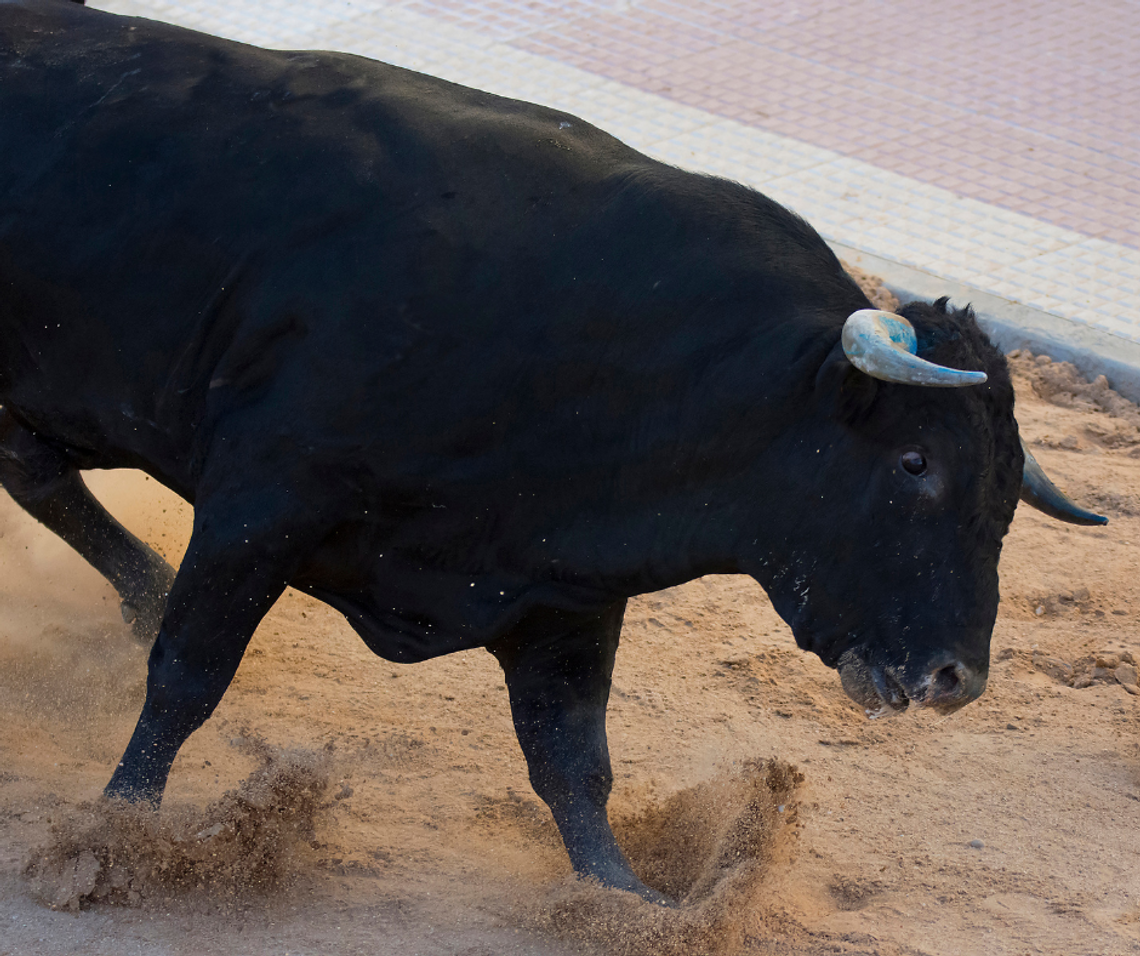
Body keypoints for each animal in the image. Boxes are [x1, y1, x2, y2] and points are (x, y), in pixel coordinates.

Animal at [0, 0, 1103, 907]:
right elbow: (188, 674)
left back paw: (140, 585)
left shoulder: (565, 590)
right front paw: (114, 833)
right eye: (915, 464)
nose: (957, 676)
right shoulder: (262, 501)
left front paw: (630, 899)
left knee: (35, 469)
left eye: (1010, 495)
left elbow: (572, 758)